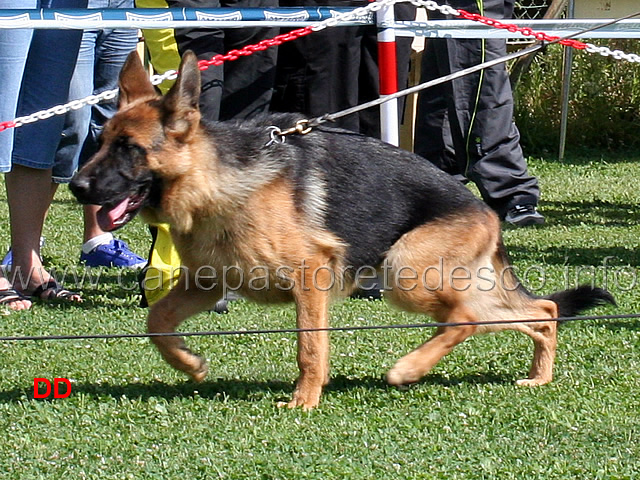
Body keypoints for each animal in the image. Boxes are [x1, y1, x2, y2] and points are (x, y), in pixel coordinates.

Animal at [70, 50, 616, 406]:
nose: (76, 186)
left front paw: (304, 402)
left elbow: (309, 348)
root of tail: (484, 210)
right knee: (541, 312)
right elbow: (156, 322)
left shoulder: (311, 278)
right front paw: (189, 364)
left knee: (464, 319)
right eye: (101, 143)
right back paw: (538, 377)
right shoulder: (207, 284)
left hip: (405, 274)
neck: (214, 182)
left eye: (130, 149)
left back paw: (408, 369)